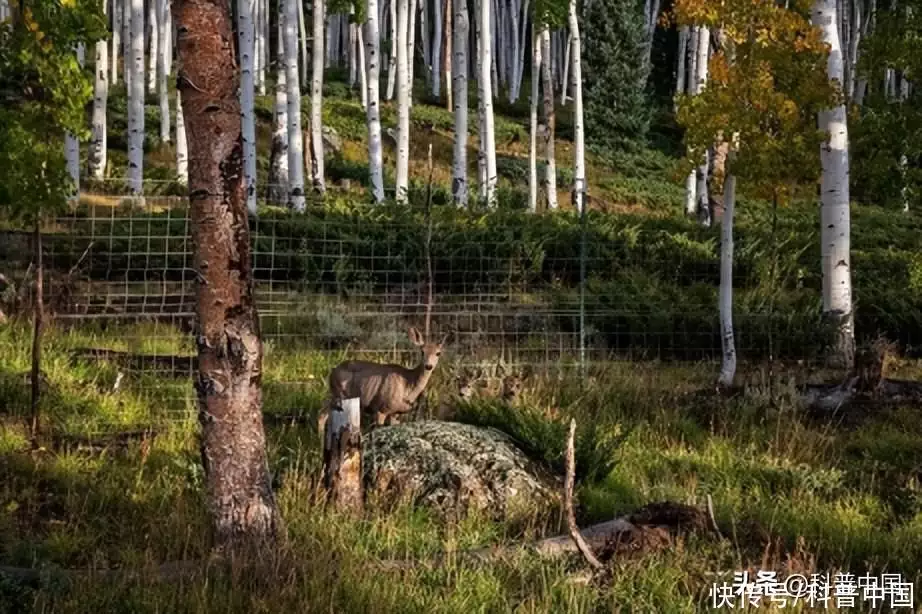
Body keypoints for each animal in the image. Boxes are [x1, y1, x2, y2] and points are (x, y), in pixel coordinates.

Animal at [320, 328, 450, 434]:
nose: (428, 366)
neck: (408, 383)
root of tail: (332, 372)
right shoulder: (381, 407)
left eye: (438, 353)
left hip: (336, 395)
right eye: (422, 352)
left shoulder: (396, 413)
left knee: (323, 415)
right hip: (340, 394)